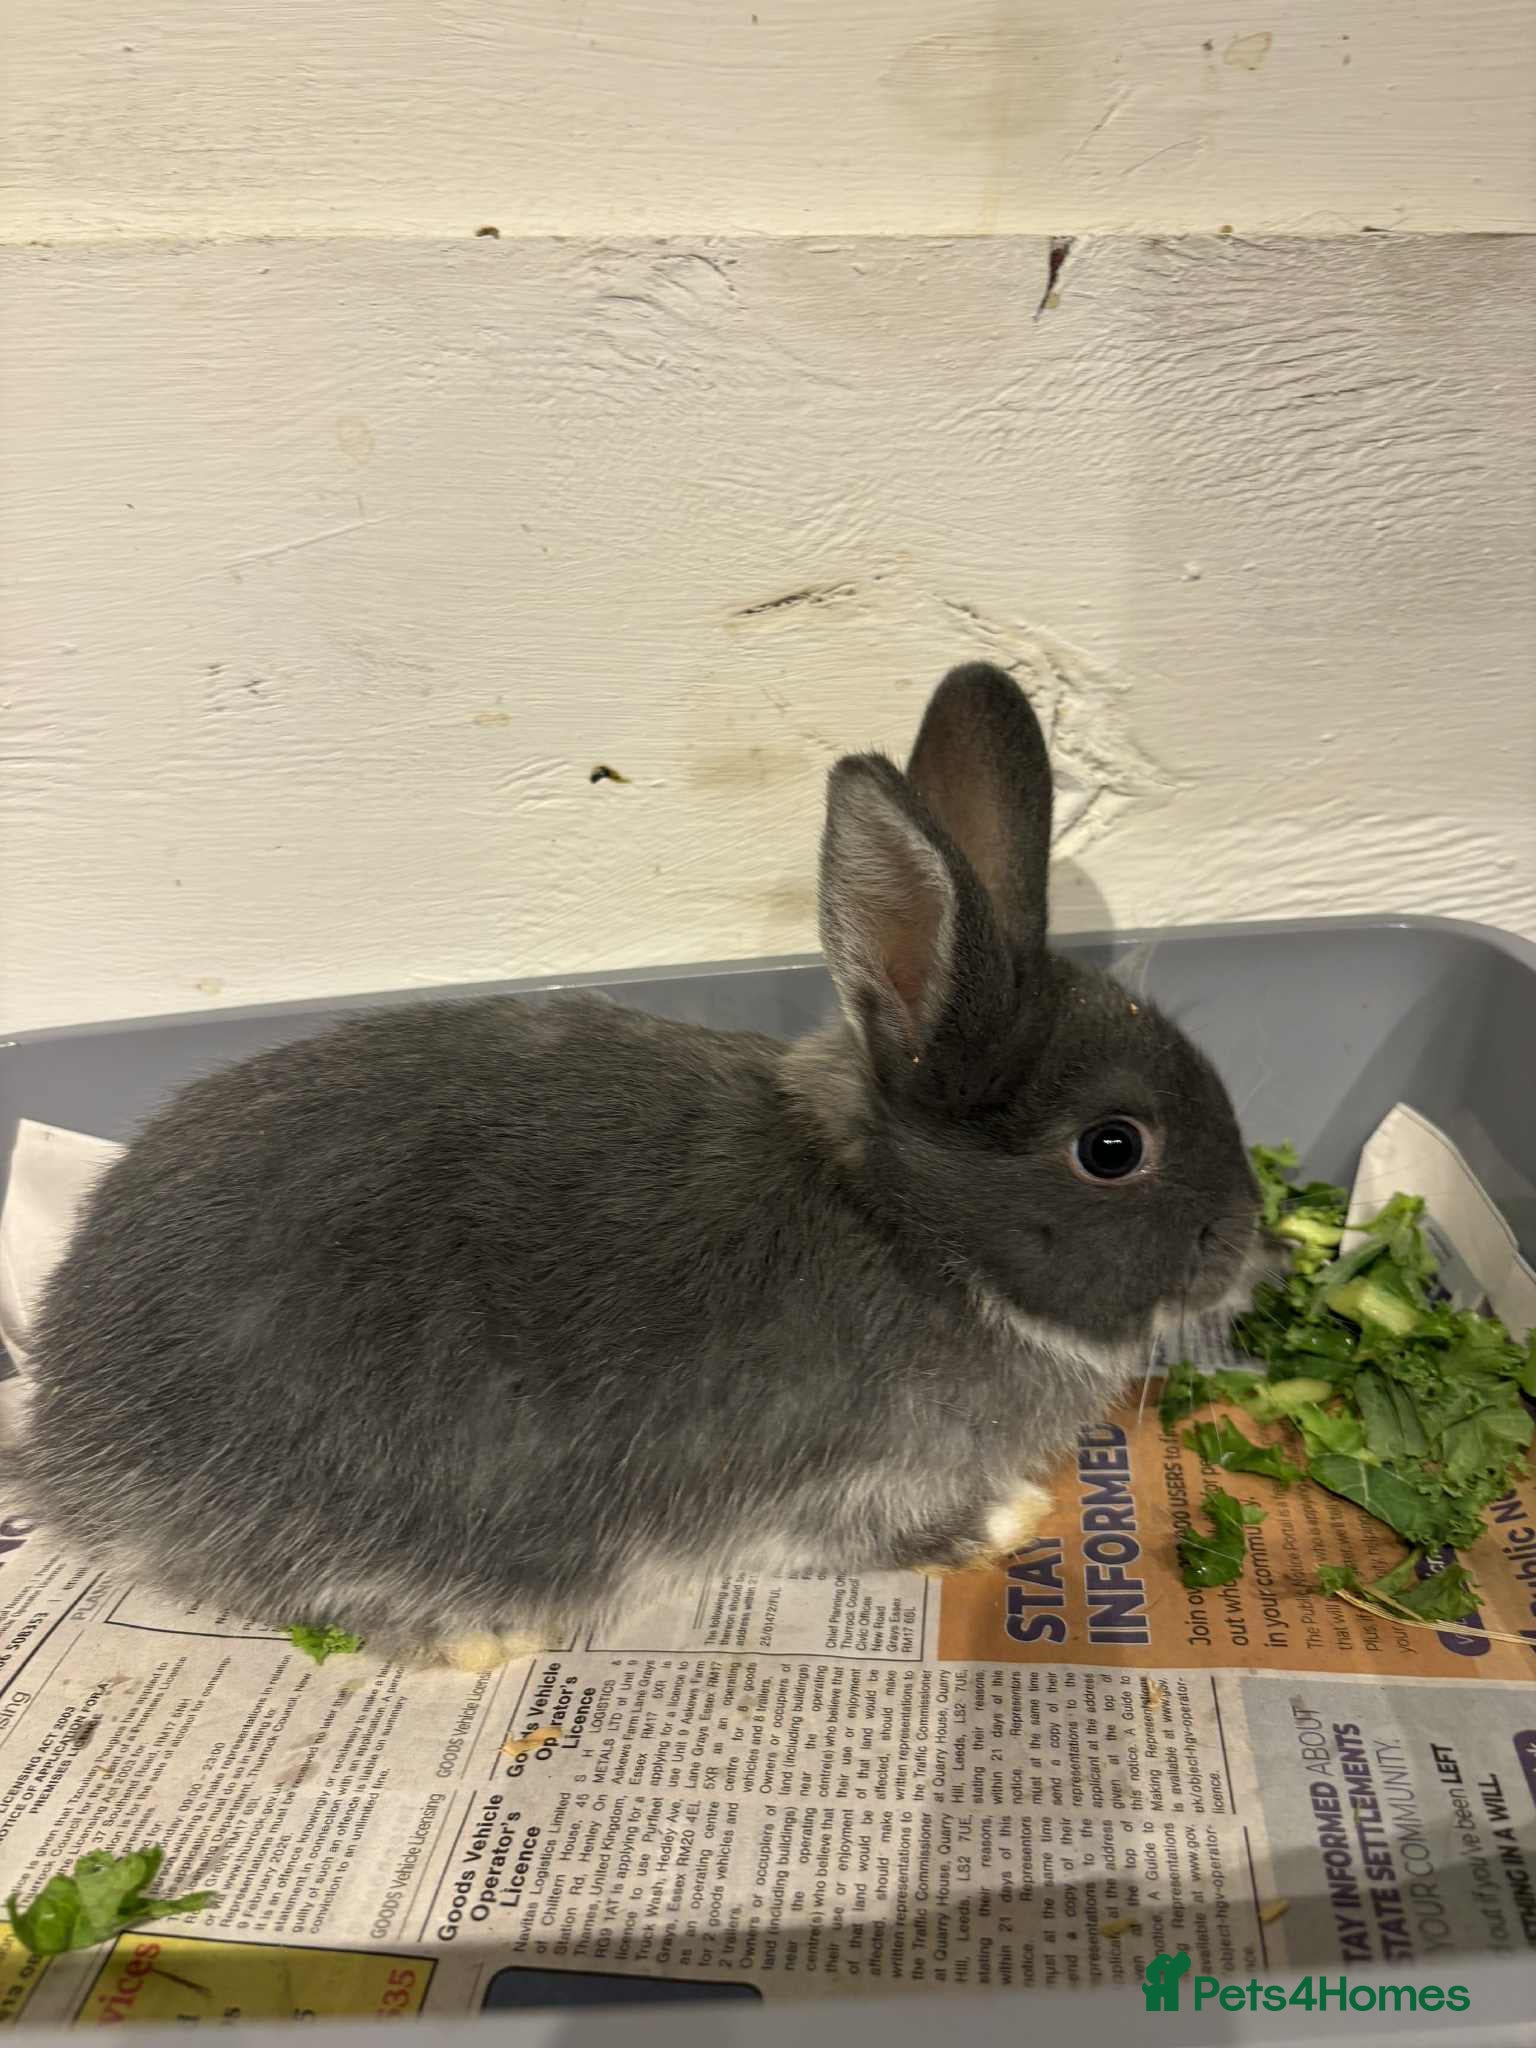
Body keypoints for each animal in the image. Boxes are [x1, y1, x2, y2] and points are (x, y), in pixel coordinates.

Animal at [12, 662, 1262, 1671]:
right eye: (1113, 1147)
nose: (1251, 1245)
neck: (905, 1224)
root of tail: (60, 1431)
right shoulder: (841, 1482)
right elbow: (899, 1525)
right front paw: (1007, 1517)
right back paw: (479, 1637)